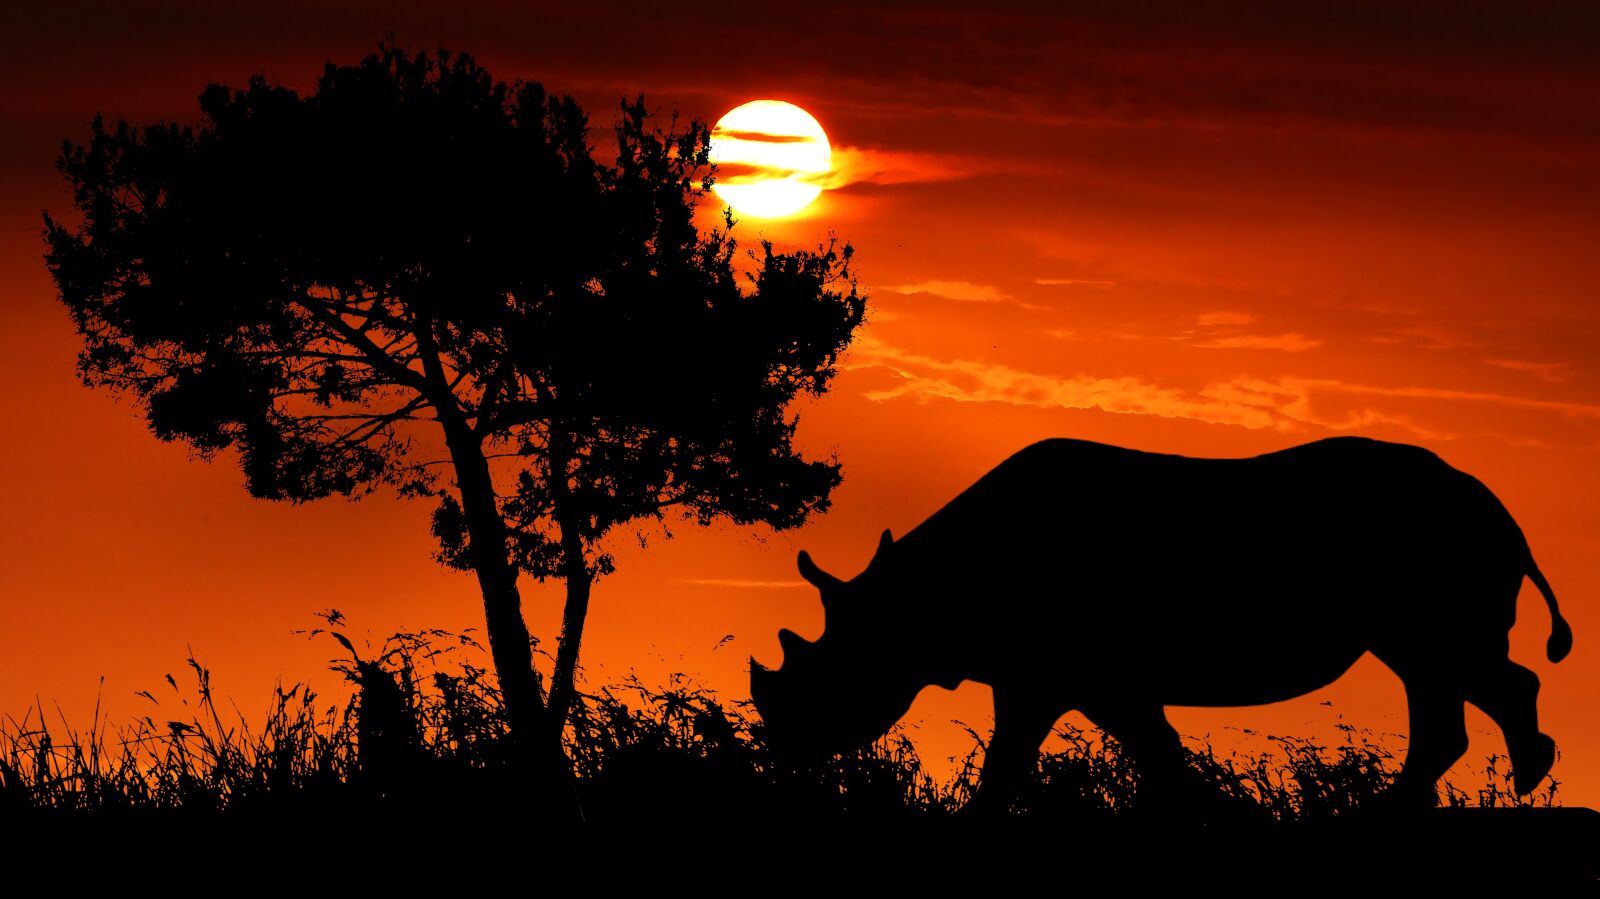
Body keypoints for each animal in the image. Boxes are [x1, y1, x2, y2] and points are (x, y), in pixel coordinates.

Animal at [750, 436, 1573, 811]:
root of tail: (1504, 514)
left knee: (1444, 661)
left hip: (1437, 552)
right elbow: (1156, 746)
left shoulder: (1051, 672)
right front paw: (1202, 810)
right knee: (1437, 669)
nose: (784, 756)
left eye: (828, 678)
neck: (913, 600)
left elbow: (1012, 758)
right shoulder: (1083, 675)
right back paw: (1505, 779)